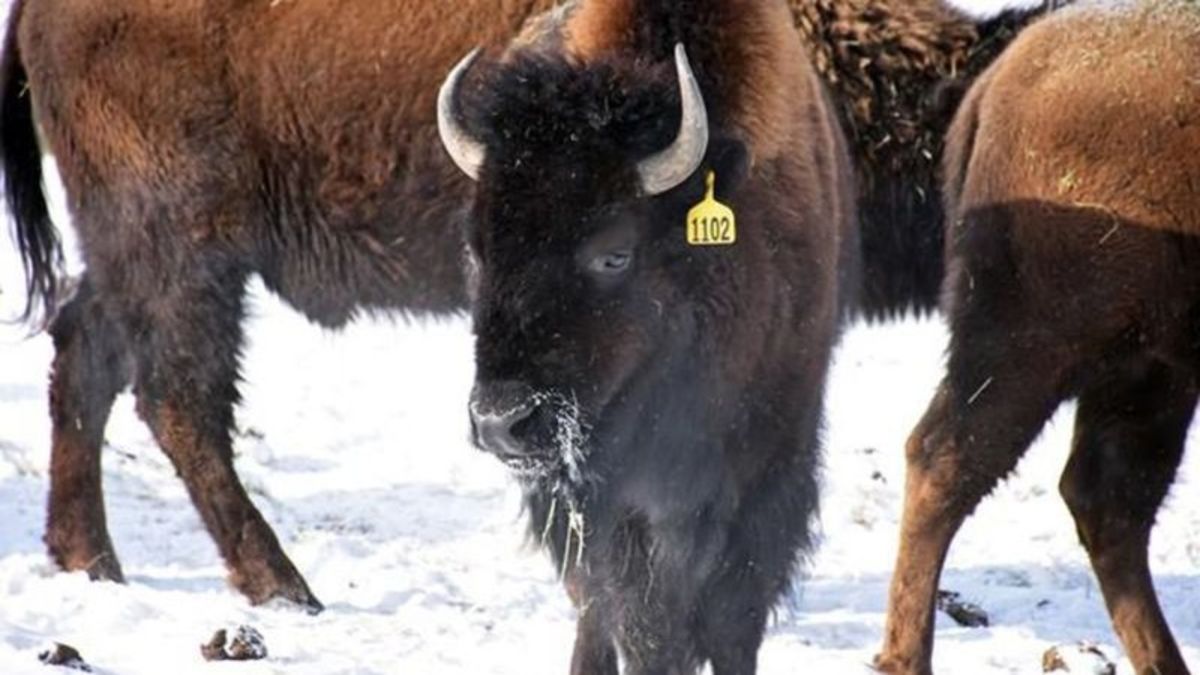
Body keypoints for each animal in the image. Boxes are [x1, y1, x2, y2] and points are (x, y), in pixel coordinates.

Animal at [875, 2, 1200, 673]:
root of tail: (1003, 76)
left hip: (1148, 370)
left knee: (1109, 499)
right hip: (1034, 345)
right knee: (944, 460)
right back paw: (906, 658)